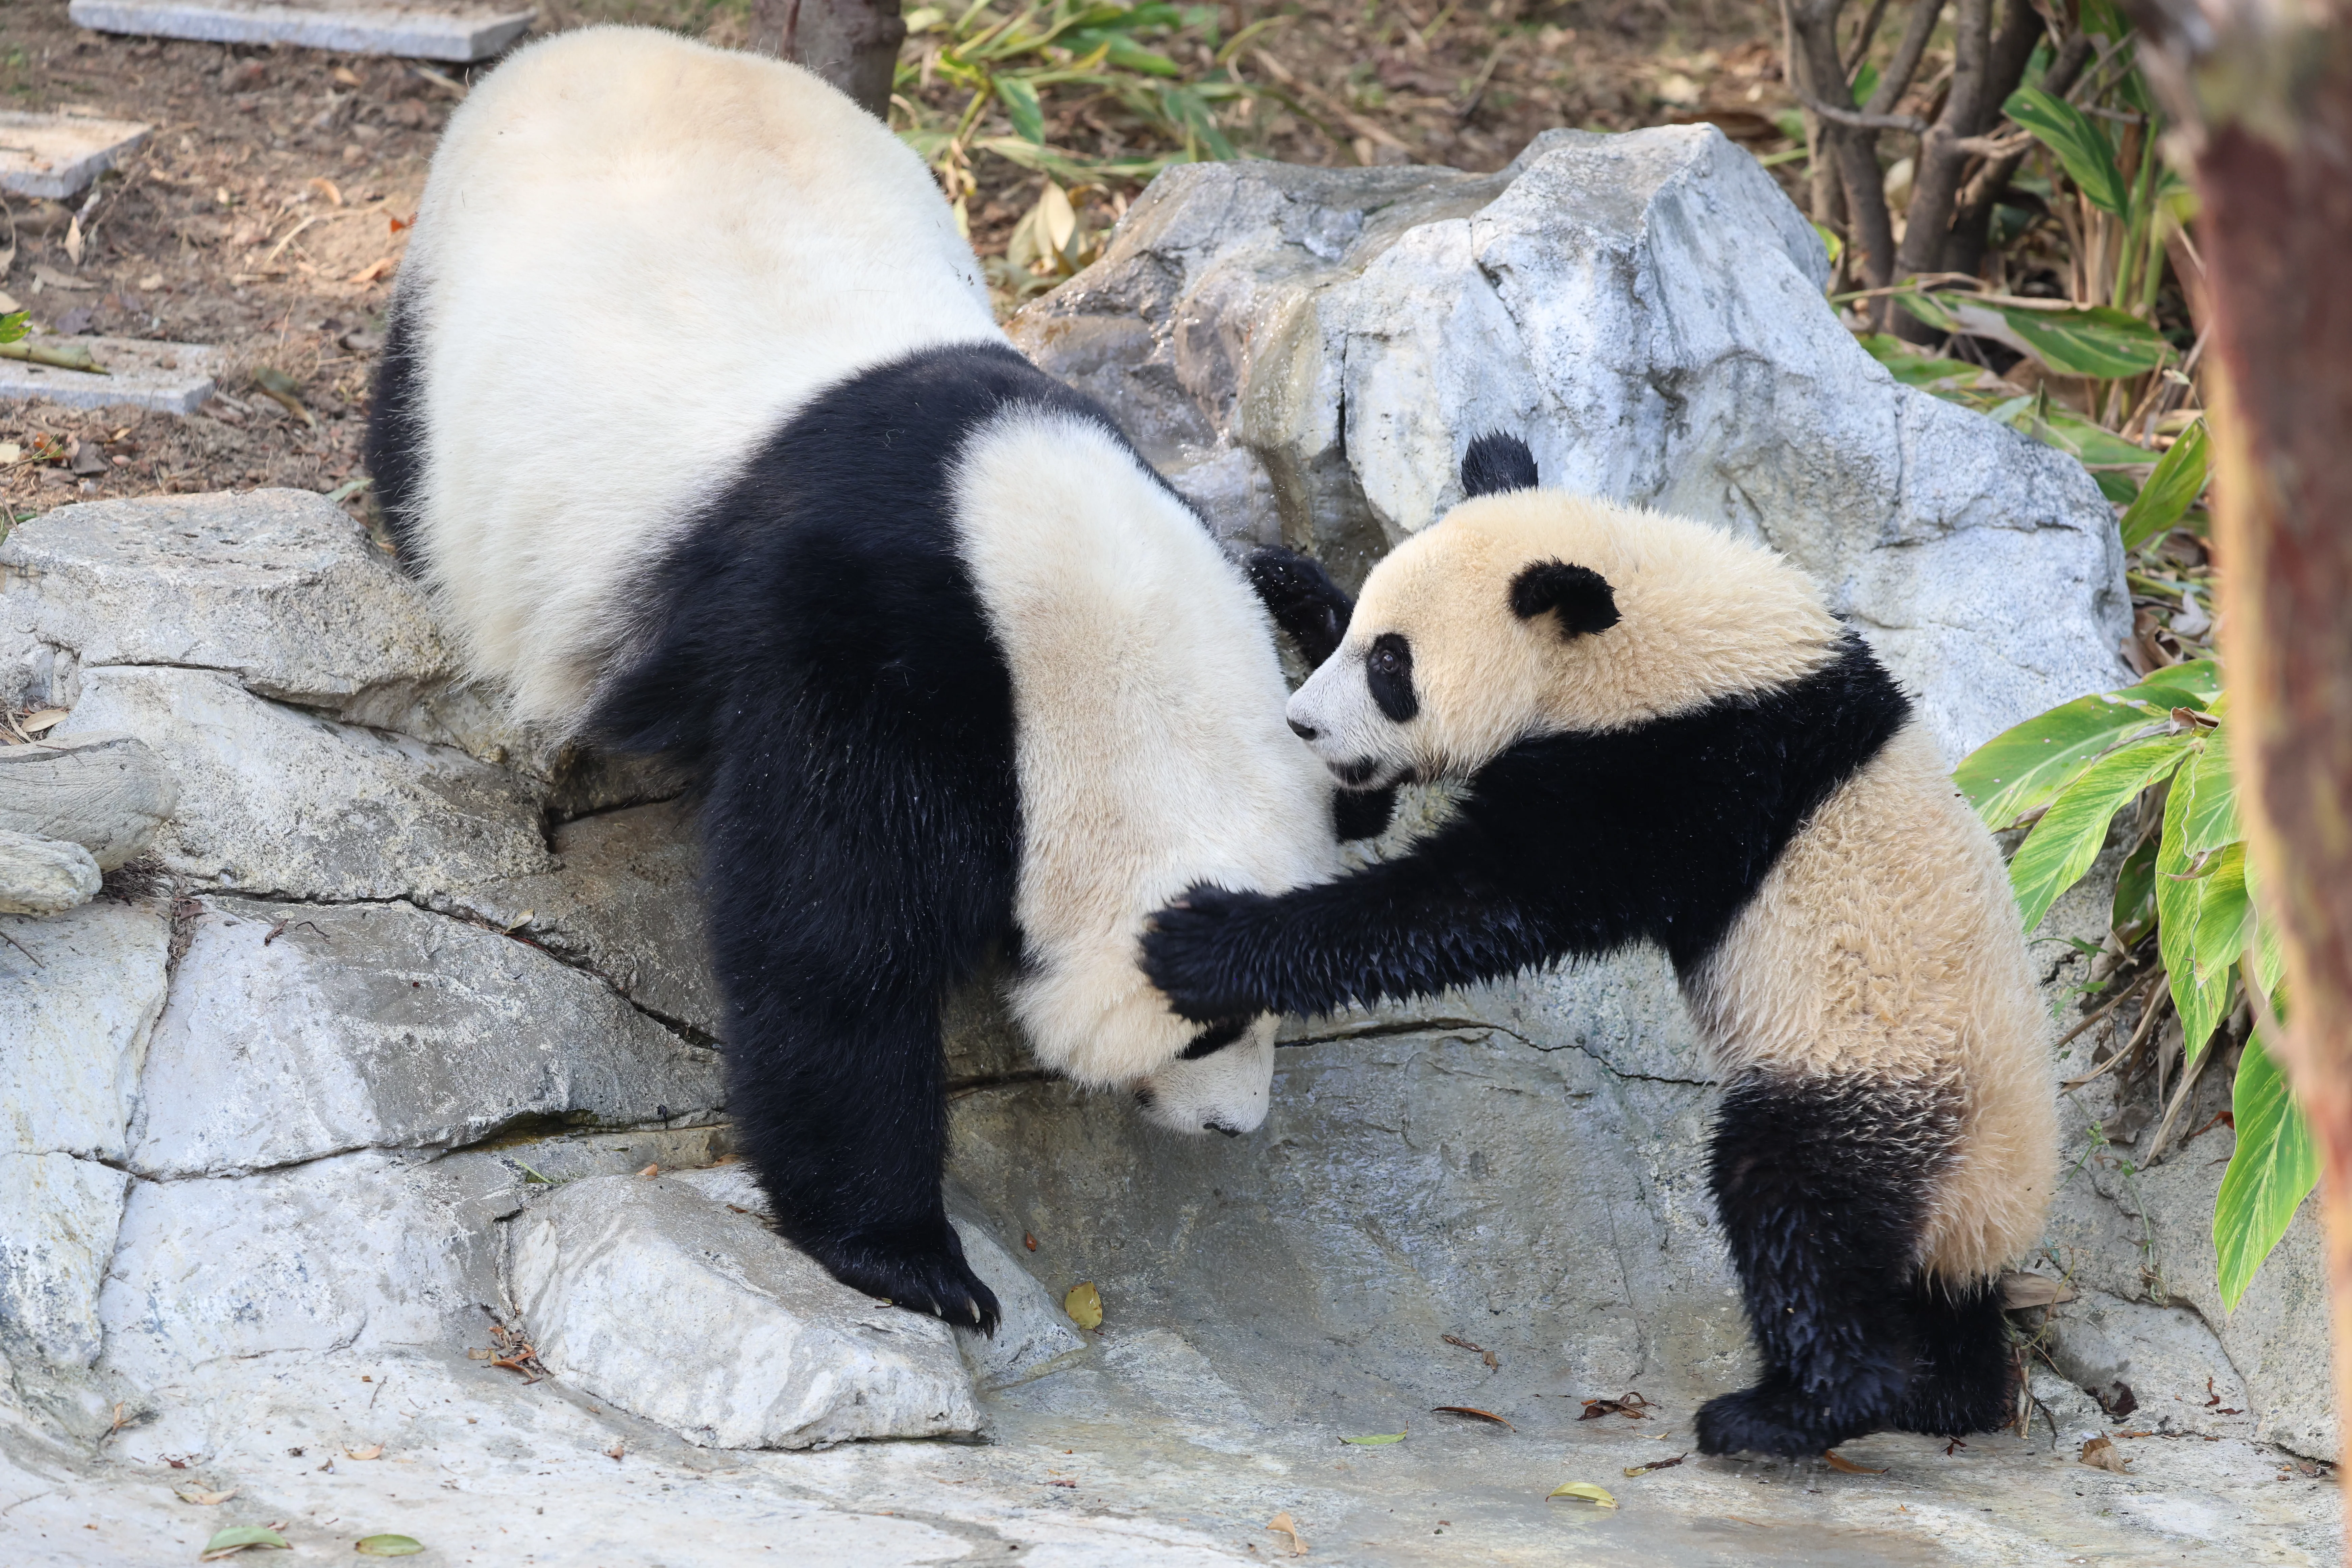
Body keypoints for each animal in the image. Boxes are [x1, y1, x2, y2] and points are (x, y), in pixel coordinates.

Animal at [363, 25, 1363, 1332]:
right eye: (1210, 1036)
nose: (1236, 1125)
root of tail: (595, 40)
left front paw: (1308, 591)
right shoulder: (866, 650)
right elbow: (831, 946)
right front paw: (911, 1258)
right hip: (448, 329)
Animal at [1143, 433, 2057, 1455]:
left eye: (1392, 666)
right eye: (1366, 638)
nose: (1303, 724)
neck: (1648, 623)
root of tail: (1994, 1207)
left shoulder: (1682, 771)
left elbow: (1486, 899)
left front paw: (1205, 944)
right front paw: (1286, 579)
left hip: (1870, 1091)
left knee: (1792, 1211)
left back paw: (1789, 1412)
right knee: (1931, 1299)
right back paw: (1951, 1393)